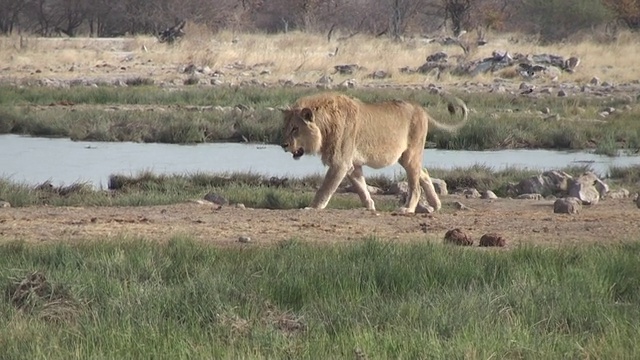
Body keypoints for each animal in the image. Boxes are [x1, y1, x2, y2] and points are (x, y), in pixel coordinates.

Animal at [282, 91, 468, 214]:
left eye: (295, 128)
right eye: (285, 127)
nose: (283, 144)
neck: (324, 126)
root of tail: (420, 108)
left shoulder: (340, 162)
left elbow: (325, 189)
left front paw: (312, 207)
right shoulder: (352, 165)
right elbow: (361, 187)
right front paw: (370, 206)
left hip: (411, 155)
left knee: (415, 187)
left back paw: (407, 209)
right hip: (405, 157)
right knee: (424, 172)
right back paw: (436, 205)